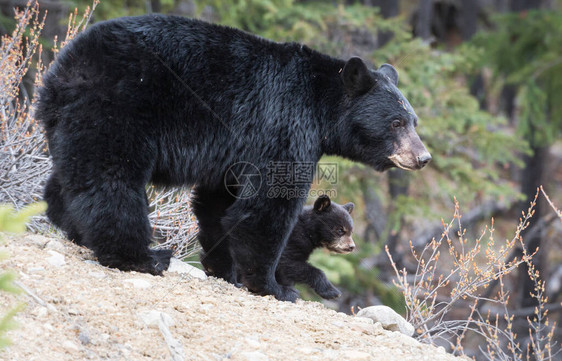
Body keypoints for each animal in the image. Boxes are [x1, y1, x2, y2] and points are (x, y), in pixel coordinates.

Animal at [37, 14, 430, 300]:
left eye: (413, 121)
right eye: (395, 123)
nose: (423, 157)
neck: (321, 107)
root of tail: (64, 67)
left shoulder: (233, 150)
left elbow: (219, 204)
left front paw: (226, 272)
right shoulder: (284, 126)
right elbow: (268, 204)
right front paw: (274, 286)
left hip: (75, 119)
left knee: (73, 175)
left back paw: (72, 226)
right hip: (119, 106)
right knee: (111, 178)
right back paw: (142, 257)